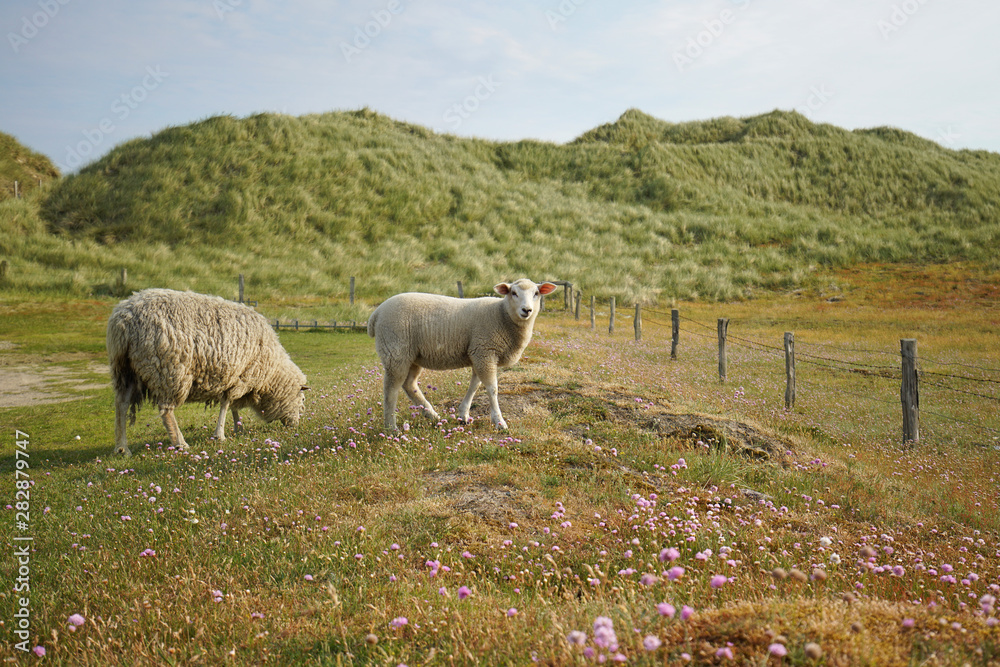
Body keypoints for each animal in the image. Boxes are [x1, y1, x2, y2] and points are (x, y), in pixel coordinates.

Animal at [107, 288, 308, 456]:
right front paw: (221, 434)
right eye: (302, 400)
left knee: (121, 405)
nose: (295, 426)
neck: (272, 374)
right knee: (166, 411)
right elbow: (226, 404)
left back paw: (122, 448)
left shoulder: (233, 378)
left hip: (125, 371)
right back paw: (180, 443)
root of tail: (124, 320)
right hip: (168, 370)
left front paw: (238, 427)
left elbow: (232, 406)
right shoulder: (240, 376)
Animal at [367, 279, 557, 431]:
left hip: (412, 356)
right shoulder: (485, 351)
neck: (501, 315)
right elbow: (492, 388)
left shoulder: (478, 353)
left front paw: (463, 415)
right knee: (391, 390)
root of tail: (376, 314)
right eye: (514, 293)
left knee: (409, 385)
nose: (527, 310)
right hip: (395, 352)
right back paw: (392, 428)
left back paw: (432, 415)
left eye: (536, 293)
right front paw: (499, 422)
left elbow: (474, 385)